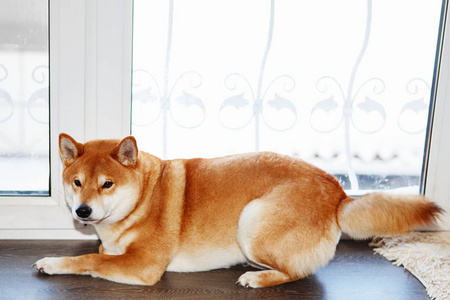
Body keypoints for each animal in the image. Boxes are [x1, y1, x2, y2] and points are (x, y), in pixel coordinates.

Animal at [33, 134, 442, 288]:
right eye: (77, 182)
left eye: (107, 184)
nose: (83, 211)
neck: (143, 196)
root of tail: (338, 192)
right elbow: (102, 251)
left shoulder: (144, 265)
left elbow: (89, 259)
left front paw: (52, 262)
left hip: (252, 220)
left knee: (298, 272)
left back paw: (258, 278)